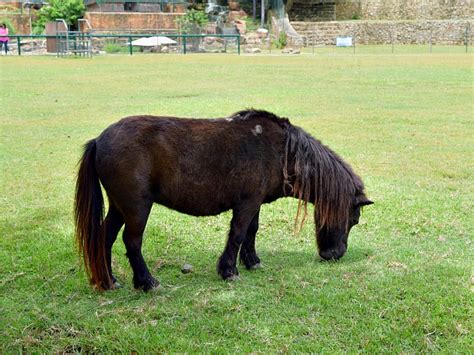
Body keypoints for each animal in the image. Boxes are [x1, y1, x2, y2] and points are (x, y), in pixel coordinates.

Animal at [75, 110, 370, 290]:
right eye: (353, 220)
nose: (334, 255)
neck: (281, 150)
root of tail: (99, 140)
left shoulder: (255, 202)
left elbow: (251, 231)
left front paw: (252, 262)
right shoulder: (246, 204)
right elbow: (238, 234)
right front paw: (229, 270)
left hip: (119, 207)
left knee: (105, 238)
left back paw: (110, 280)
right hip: (136, 207)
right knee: (132, 242)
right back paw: (147, 282)